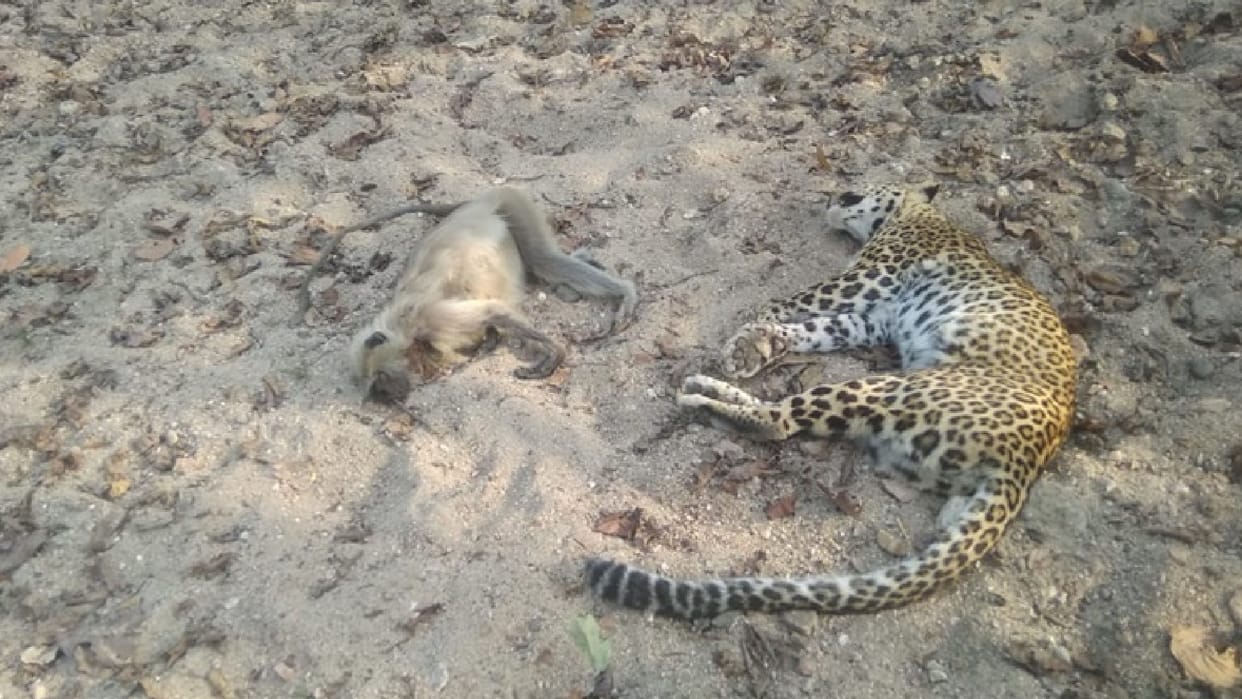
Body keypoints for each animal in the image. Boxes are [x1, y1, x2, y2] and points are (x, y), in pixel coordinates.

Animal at [586, 183, 1077, 619]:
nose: (828, 197)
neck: (918, 211)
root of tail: (1026, 462)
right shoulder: (874, 319)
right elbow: (819, 328)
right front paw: (759, 346)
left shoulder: (867, 278)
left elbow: (792, 300)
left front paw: (750, 333)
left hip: (884, 386)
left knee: (777, 421)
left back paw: (703, 396)